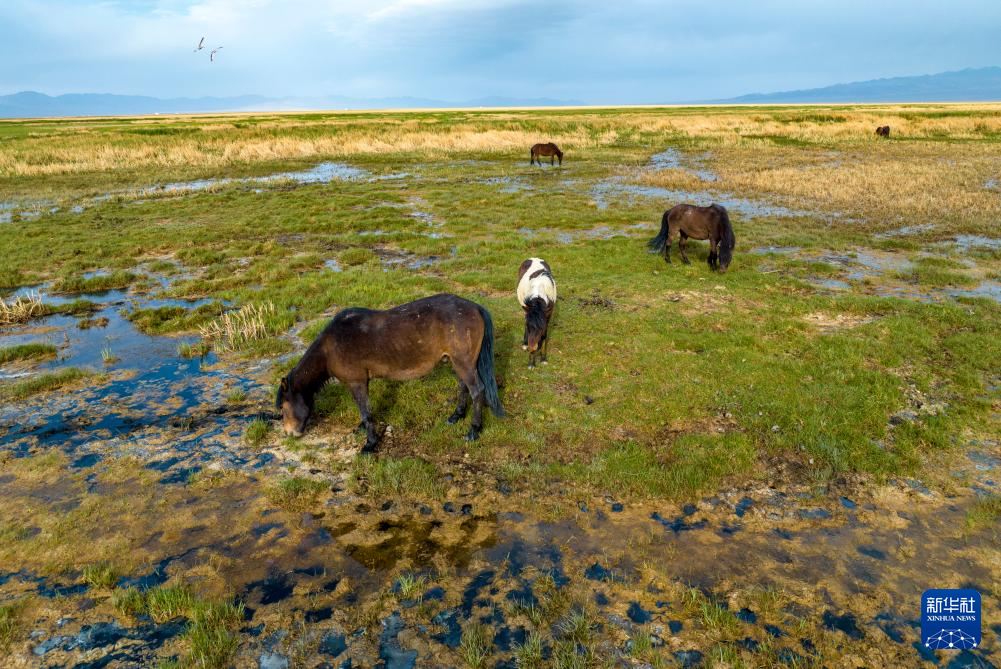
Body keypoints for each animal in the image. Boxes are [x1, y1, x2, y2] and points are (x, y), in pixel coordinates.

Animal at [276, 292, 504, 448]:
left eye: (284, 408)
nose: (289, 433)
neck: (330, 348)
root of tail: (475, 307)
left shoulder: (356, 382)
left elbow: (365, 412)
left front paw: (370, 444)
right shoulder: (361, 382)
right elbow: (365, 410)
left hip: (463, 363)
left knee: (477, 391)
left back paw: (473, 430)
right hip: (458, 363)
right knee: (464, 387)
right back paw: (456, 416)